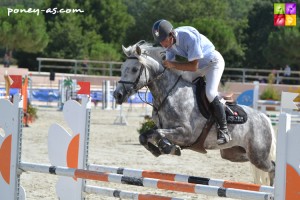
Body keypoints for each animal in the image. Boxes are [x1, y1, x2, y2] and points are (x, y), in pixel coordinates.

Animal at [113, 41, 276, 186]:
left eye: (134, 69)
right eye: (122, 68)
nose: (117, 95)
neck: (169, 94)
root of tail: (264, 118)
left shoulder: (186, 133)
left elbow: (159, 134)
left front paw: (169, 148)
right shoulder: (164, 129)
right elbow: (145, 136)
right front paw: (161, 149)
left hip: (258, 155)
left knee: (272, 167)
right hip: (234, 153)